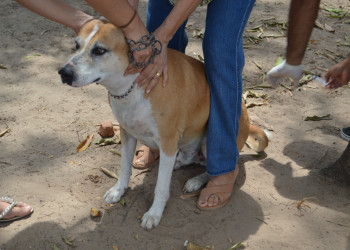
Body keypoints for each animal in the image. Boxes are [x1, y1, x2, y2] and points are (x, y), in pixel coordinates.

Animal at [59, 20, 268, 229]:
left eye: (100, 50)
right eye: (77, 45)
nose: (63, 73)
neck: (130, 88)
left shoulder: (168, 142)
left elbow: (160, 187)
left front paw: (154, 213)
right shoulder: (127, 134)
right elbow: (125, 167)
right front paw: (119, 190)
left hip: (210, 141)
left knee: (224, 167)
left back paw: (196, 181)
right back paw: (180, 163)